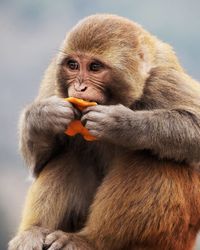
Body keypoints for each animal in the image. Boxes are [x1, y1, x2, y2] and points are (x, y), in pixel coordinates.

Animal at [8, 14, 200, 250]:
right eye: (73, 65)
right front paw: (44, 116)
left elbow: (195, 127)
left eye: (95, 67)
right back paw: (34, 231)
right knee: (70, 156)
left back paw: (88, 240)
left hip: (173, 236)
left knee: (153, 160)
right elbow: (39, 163)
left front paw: (122, 124)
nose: (79, 88)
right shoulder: (53, 79)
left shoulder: (164, 79)